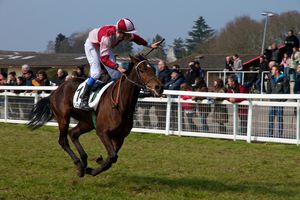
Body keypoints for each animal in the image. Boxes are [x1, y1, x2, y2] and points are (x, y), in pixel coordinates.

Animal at [28, 54, 164, 177]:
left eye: (152, 68)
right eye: (141, 70)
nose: (159, 87)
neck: (120, 104)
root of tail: (56, 90)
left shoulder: (120, 137)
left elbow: (112, 158)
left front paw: (96, 164)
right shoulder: (102, 131)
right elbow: (113, 156)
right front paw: (92, 170)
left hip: (87, 122)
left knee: (73, 133)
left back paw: (84, 161)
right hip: (63, 118)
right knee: (63, 140)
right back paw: (79, 165)